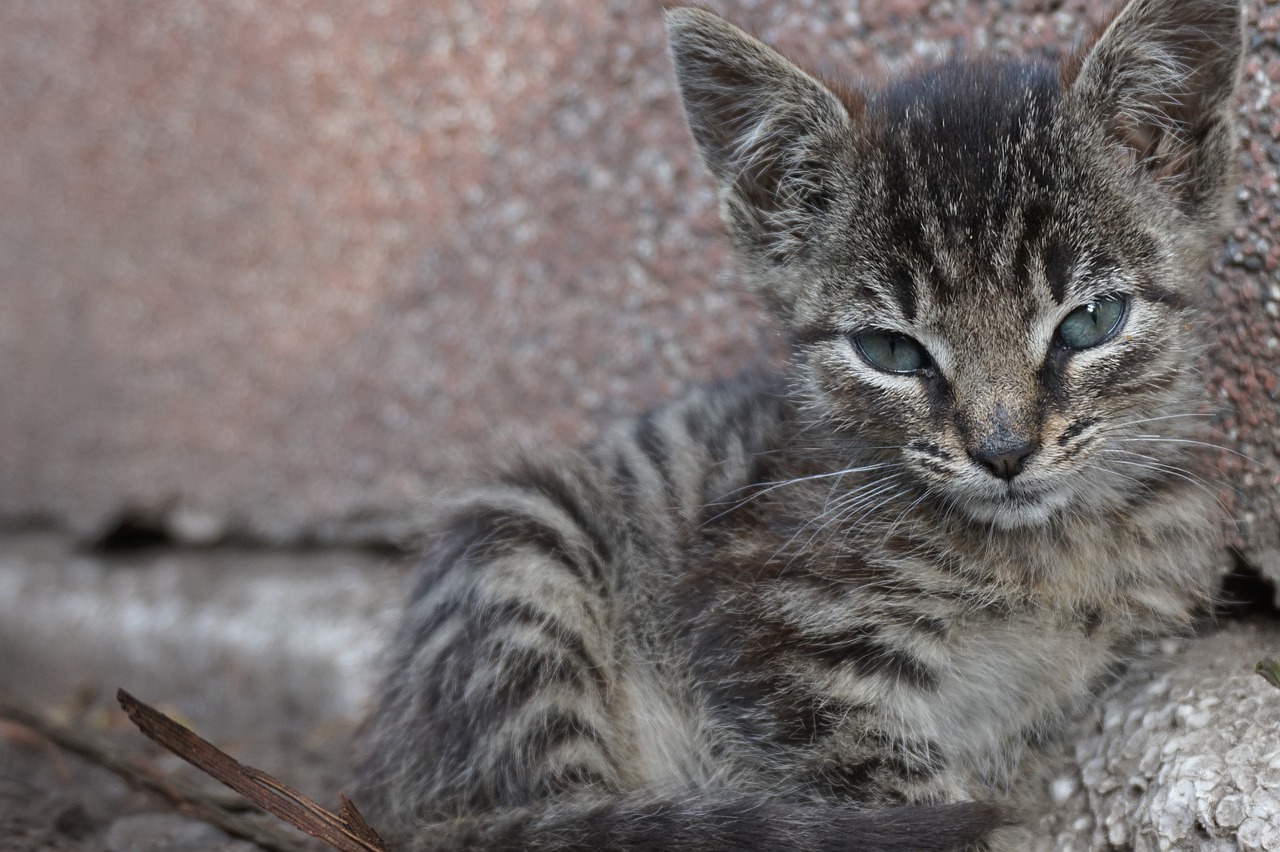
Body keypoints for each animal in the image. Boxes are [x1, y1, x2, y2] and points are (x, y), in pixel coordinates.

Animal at [355, 3, 1244, 844]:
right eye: (890, 350)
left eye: (1090, 322)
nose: (1003, 451)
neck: (1043, 555)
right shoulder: (771, 638)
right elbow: (890, 780)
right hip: (523, 553)